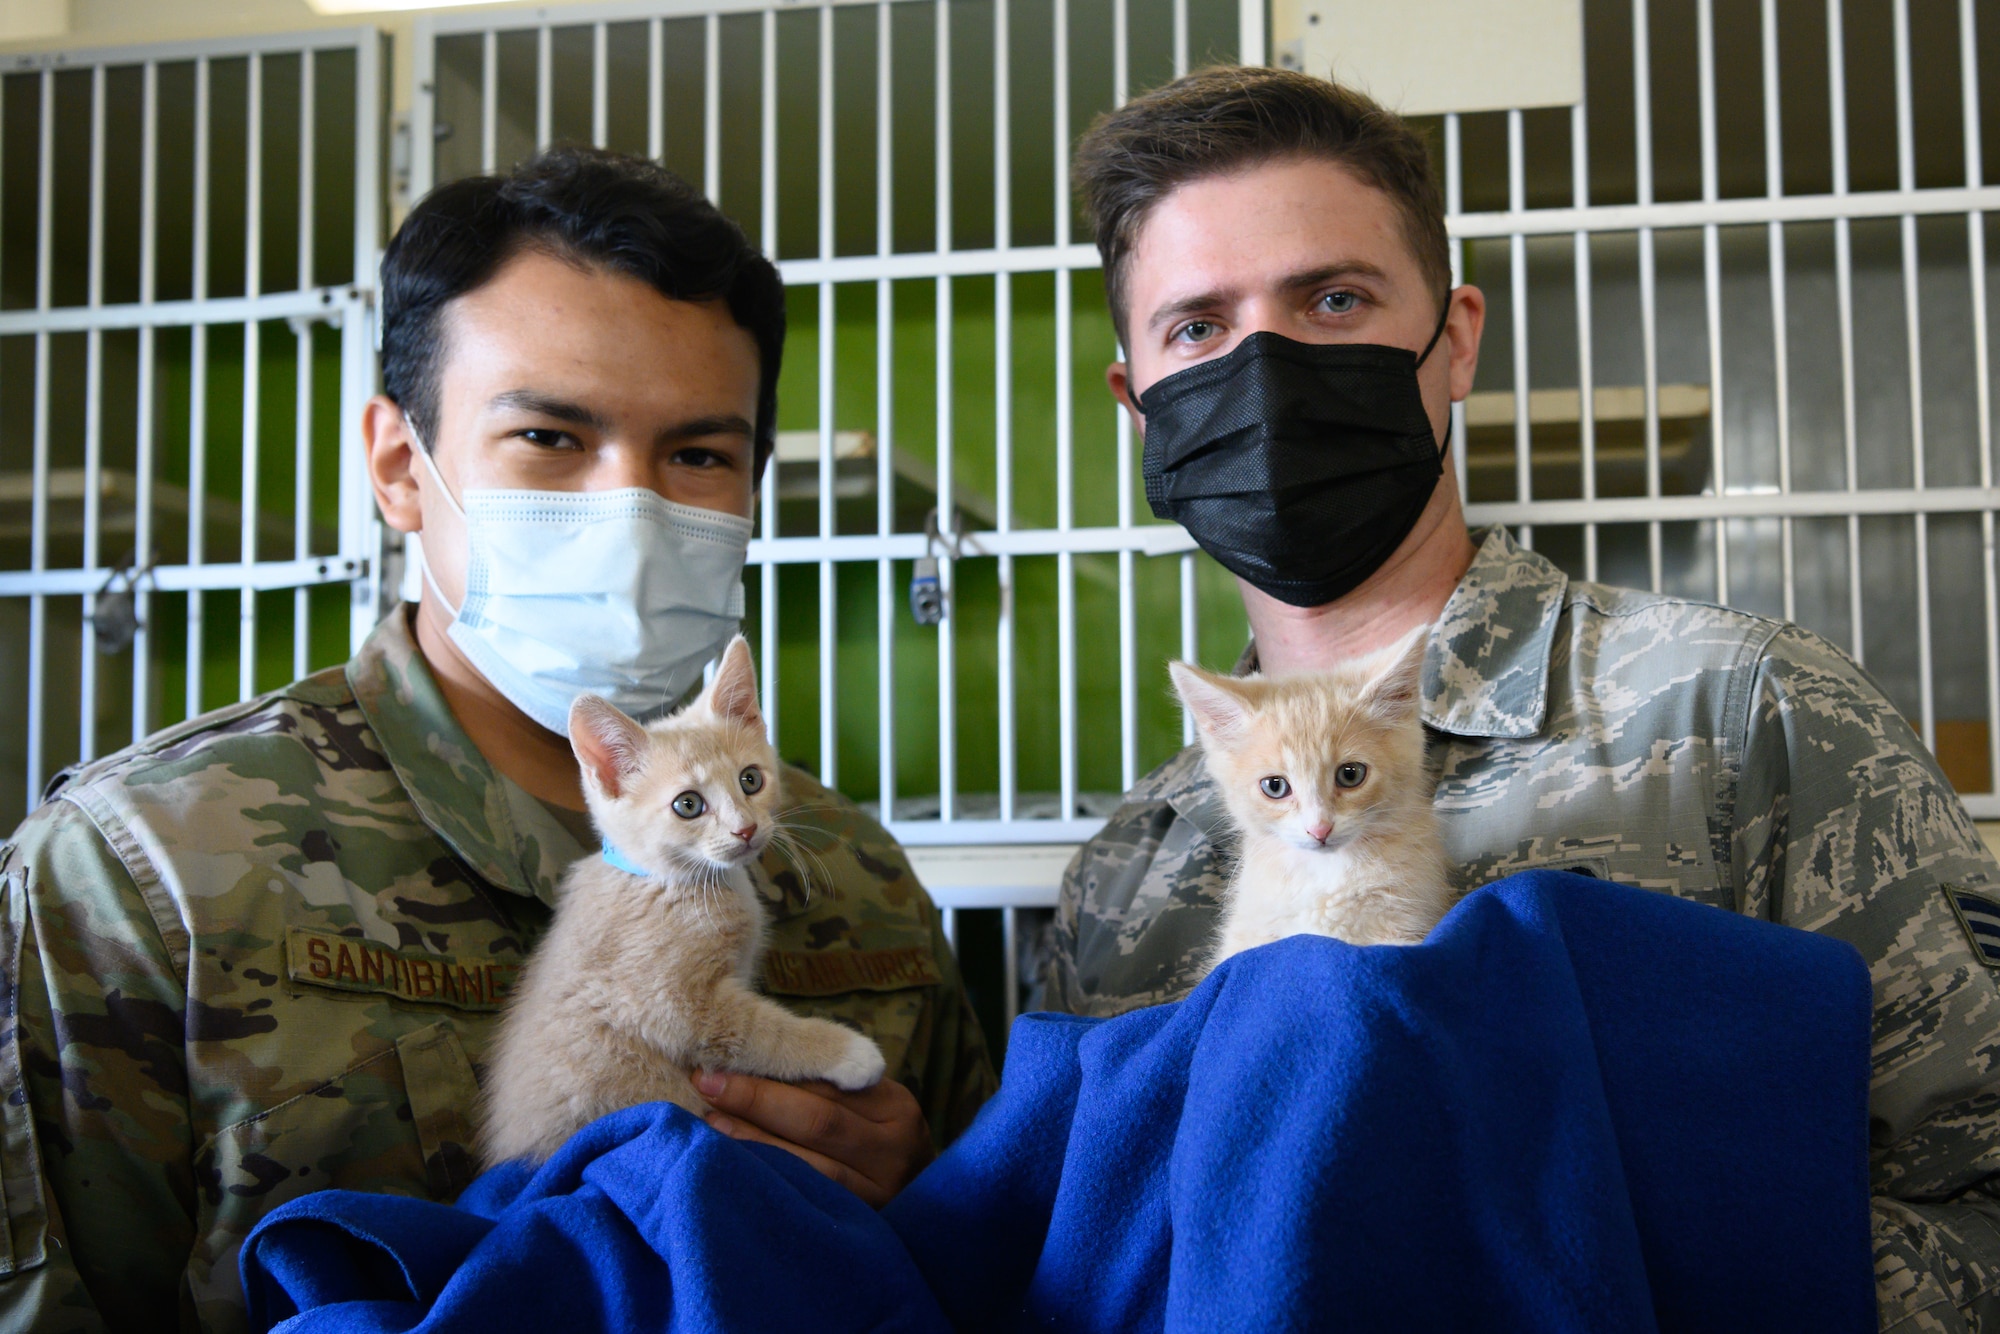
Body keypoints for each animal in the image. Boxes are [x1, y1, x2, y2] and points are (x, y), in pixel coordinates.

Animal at [476, 636, 884, 1168]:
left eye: (751, 780)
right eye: (688, 805)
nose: (746, 829)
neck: (666, 883)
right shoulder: (668, 1003)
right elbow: (758, 1031)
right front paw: (848, 1053)